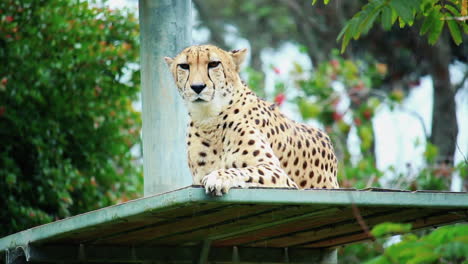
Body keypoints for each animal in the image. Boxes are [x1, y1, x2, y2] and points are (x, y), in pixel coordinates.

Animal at [165, 44, 340, 195]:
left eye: (213, 64)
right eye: (184, 66)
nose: (197, 87)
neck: (209, 119)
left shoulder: (278, 174)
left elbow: (242, 170)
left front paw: (217, 177)